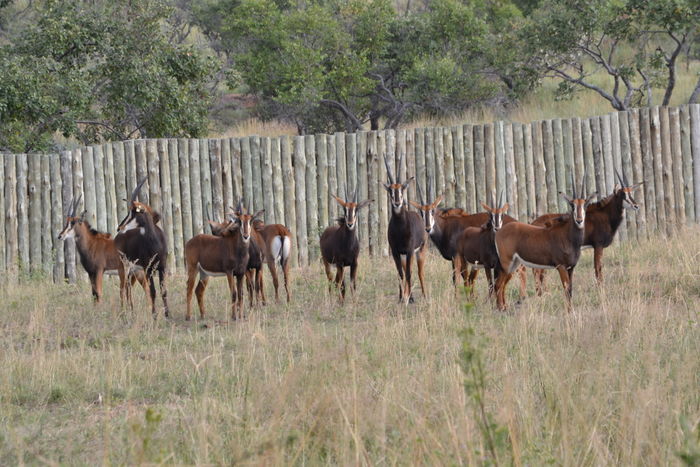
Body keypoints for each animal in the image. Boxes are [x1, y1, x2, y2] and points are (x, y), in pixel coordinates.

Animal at [115, 178, 170, 317]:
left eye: (132, 212)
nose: (119, 227)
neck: (154, 242)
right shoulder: (148, 269)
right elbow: (153, 291)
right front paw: (154, 315)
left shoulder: (162, 267)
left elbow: (163, 291)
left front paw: (167, 314)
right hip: (124, 267)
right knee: (123, 288)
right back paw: (123, 312)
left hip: (134, 271)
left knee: (128, 287)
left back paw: (131, 310)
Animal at [383, 153, 427, 304]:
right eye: (390, 189)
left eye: (402, 188)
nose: (397, 203)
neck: (400, 228)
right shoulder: (396, 252)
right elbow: (400, 274)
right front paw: (401, 297)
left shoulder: (409, 251)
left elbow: (408, 273)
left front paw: (407, 298)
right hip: (405, 255)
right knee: (409, 271)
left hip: (419, 251)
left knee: (419, 272)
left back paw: (424, 295)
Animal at [494, 175, 596, 311]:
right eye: (572, 205)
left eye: (585, 205)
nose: (579, 220)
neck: (568, 237)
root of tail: (499, 231)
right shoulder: (561, 267)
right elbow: (566, 289)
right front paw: (569, 311)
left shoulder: (571, 268)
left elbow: (570, 290)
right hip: (506, 264)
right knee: (498, 284)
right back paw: (500, 309)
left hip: (513, 264)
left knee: (501, 284)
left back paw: (503, 308)